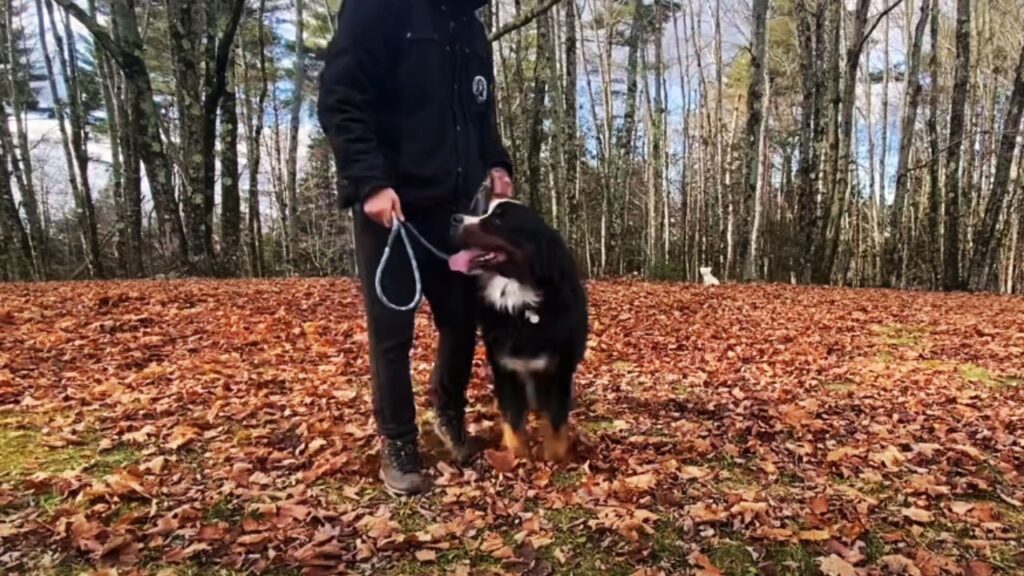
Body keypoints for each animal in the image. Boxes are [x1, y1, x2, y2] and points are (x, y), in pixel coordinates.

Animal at [446, 199, 585, 459]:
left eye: (498, 220)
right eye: (484, 212)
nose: (454, 219)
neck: (522, 304)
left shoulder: (558, 370)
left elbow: (556, 421)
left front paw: (556, 457)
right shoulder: (506, 368)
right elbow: (513, 420)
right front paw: (516, 456)